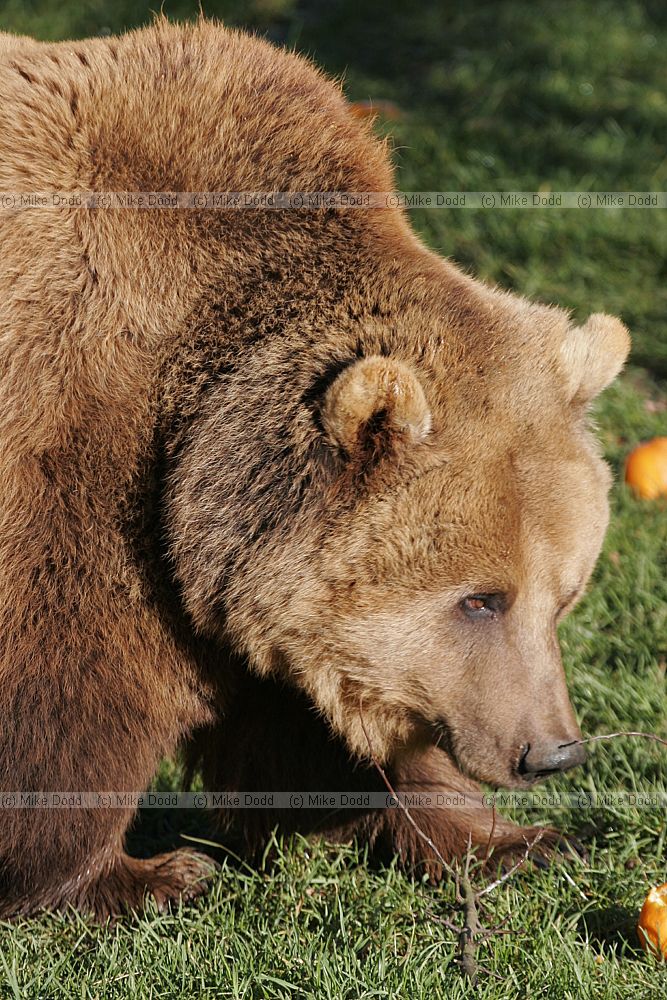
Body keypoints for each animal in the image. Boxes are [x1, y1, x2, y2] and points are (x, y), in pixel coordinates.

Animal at [0, 18, 629, 919]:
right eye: (481, 599)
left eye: (565, 595)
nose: (550, 752)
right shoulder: (74, 434)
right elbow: (69, 677)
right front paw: (141, 876)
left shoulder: (237, 562)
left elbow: (313, 721)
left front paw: (514, 842)